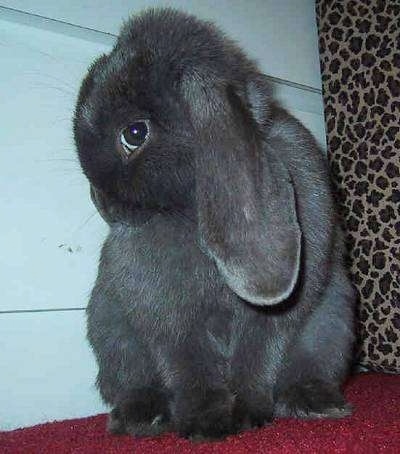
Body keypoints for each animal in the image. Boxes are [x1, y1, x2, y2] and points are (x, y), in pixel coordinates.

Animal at [73, 7, 354, 440]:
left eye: (134, 133)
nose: (100, 202)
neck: (188, 212)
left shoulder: (273, 320)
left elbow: (258, 357)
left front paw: (244, 414)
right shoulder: (168, 318)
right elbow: (188, 367)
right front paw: (205, 423)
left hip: (333, 318)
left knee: (307, 368)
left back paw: (316, 403)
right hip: (110, 328)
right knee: (132, 382)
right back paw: (140, 417)